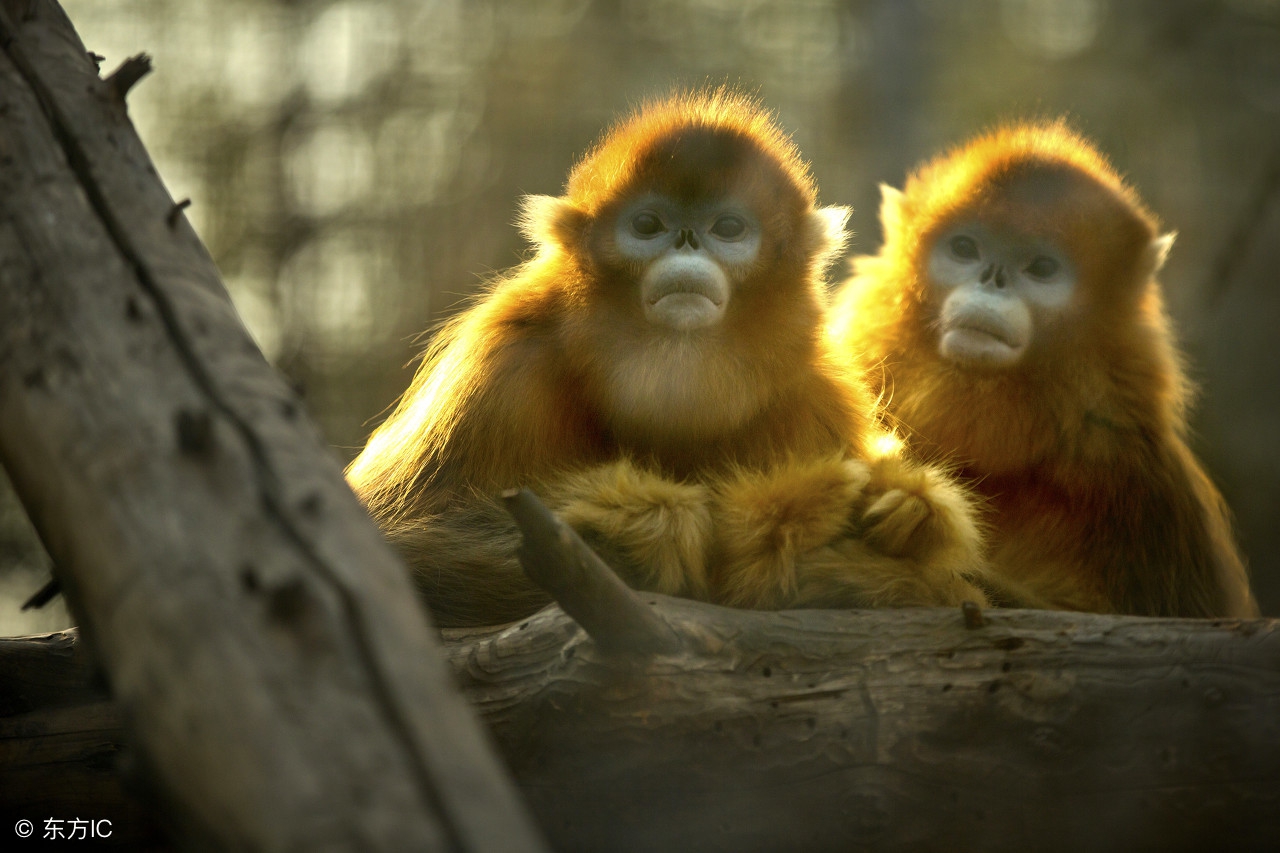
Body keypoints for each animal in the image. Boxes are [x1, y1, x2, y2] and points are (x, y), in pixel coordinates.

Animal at [343, 91, 988, 625]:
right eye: (649, 225)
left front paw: (900, 522)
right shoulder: (503, 365)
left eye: (727, 228)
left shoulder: (813, 396)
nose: (687, 242)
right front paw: (663, 528)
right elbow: (392, 546)